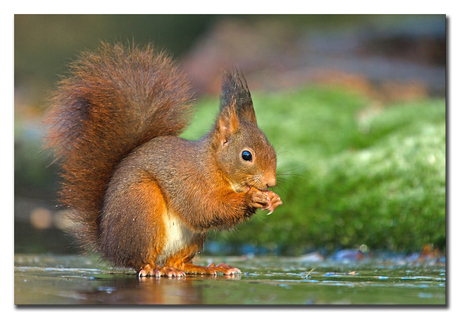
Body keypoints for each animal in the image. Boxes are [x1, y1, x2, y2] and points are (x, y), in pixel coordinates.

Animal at [44, 42, 280, 278]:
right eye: (246, 155)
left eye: (273, 149)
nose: (271, 182)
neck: (214, 165)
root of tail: (109, 245)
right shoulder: (192, 182)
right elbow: (206, 209)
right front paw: (252, 197)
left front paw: (273, 199)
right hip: (143, 208)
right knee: (140, 261)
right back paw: (155, 268)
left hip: (190, 239)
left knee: (178, 262)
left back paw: (207, 267)